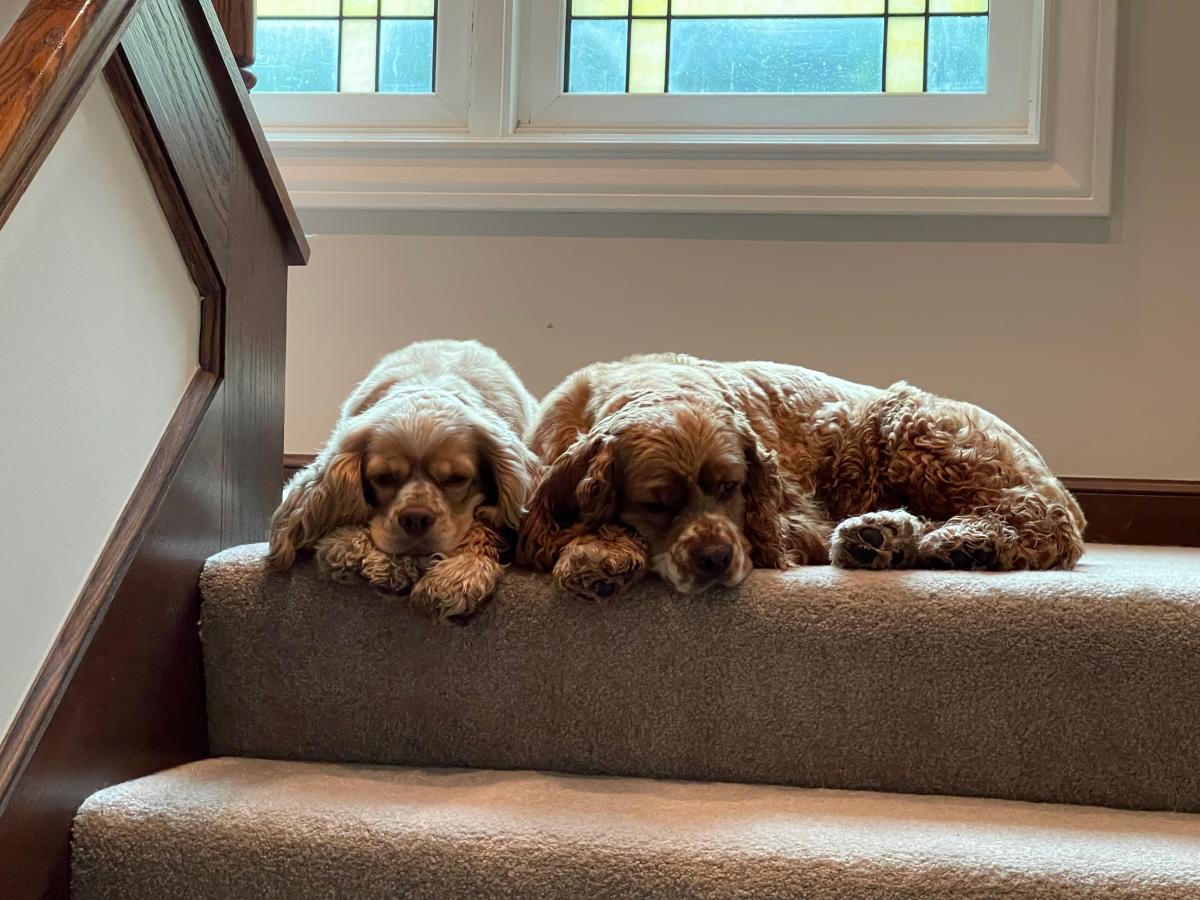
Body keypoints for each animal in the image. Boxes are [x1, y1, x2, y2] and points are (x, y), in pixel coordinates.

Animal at [272, 340, 540, 624]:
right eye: (384, 477)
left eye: (456, 479)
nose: (416, 518)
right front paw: (353, 547)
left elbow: (485, 528)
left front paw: (457, 576)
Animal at [518, 355, 1089, 602]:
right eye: (657, 505)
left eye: (729, 487)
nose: (714, 559)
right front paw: (597, 552)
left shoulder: (794, 520)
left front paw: (600, 551)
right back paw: (880, 537)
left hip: (911, 425)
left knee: (1044, 519)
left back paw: (964, 543)